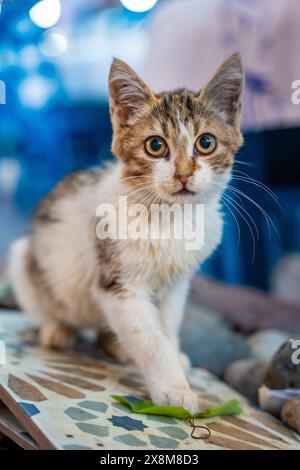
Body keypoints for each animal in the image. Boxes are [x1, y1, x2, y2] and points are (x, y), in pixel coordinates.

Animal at [8, 52, 244, 412]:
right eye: (155, 146)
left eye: (206, 142)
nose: (183, 174)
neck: (168, 217)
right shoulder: (118, 285)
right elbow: (149, 338)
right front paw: (174, 389)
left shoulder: (177, 285)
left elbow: (167, 325)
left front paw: (175, 357)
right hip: (24, 258)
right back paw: (57, 330)